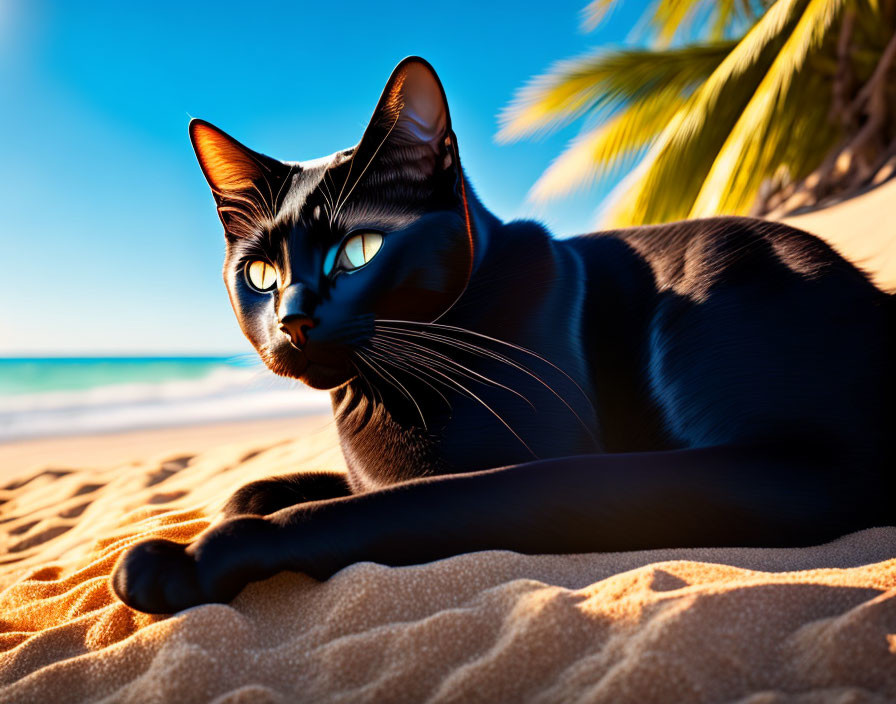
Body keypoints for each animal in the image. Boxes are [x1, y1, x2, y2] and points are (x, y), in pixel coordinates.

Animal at [112, 57, 896, 612]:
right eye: (261, 273)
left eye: (359, 251)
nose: (292, 317)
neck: (377, 396)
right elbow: (299, 488)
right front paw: (251, 496)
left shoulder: (517, 473)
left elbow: (358, 508)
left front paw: (181, 560)